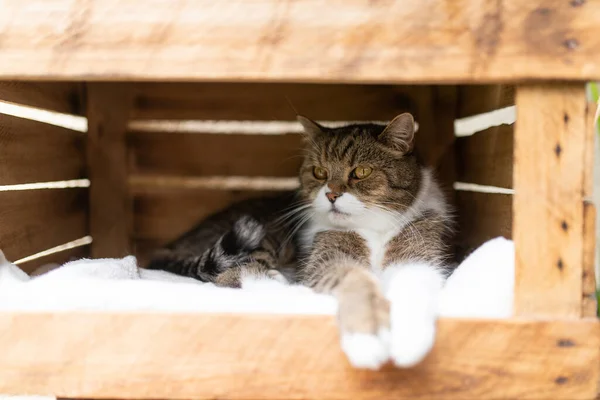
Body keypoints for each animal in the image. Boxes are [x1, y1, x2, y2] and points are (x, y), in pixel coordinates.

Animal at [146, 112, 454, 368]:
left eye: (361, 172)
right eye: (319, 172)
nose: (331, 194)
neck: (372, 229)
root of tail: (175, 245)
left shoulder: (419, 254)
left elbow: (414, 285)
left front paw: (409, 340)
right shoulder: (327, 258)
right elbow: (356, 282)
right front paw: (368, 339)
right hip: (263, 234)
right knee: (233, 273)